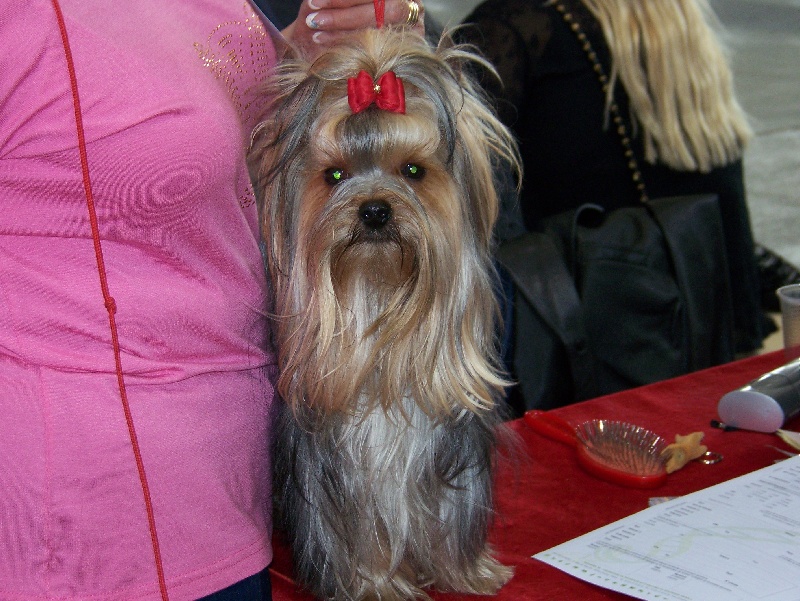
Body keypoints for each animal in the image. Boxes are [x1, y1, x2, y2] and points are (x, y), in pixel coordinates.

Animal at [249, 27, 521, 600]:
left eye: (413, 171)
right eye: (334, 175)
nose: (374, 209)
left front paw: (468, 571)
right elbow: (357, 541)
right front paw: (376, 584)